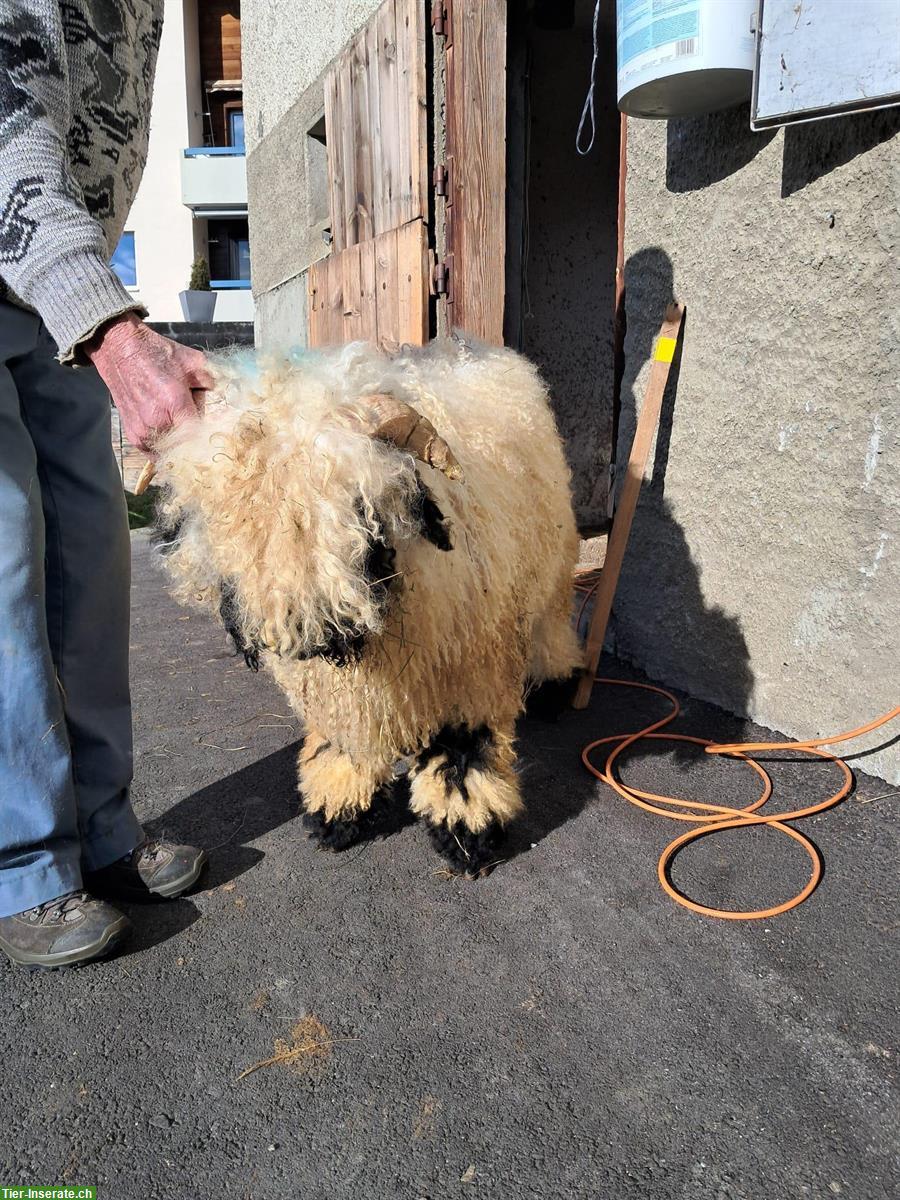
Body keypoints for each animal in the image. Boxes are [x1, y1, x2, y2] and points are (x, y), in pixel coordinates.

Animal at [154, 333, 580, 878]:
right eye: (221, 522)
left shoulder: (469, 667)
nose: (309, 633)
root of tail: (477, 349)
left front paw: (466, 832)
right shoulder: (337, 690)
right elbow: (347, 739)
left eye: (360, 506)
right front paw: (341, 810)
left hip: (552, 568)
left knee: (552, 626)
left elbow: (463, 748)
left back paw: (554, 687)